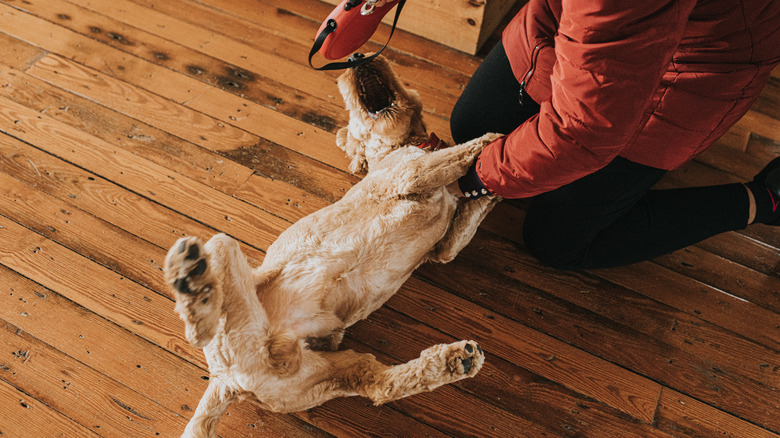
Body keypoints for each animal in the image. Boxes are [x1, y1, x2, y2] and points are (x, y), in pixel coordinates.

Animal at [165, 56, 502, 436]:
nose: (357, 57)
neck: (395, 148)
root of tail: (227, 382)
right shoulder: (408, 174)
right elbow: (459, 154)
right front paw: (495, 141)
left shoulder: (444, 245)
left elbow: (468, 216)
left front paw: (493, 185)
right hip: (225, 256)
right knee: (208, 290)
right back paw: (192, 287)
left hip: (321, 372)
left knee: (379, 384)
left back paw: (455, 360)